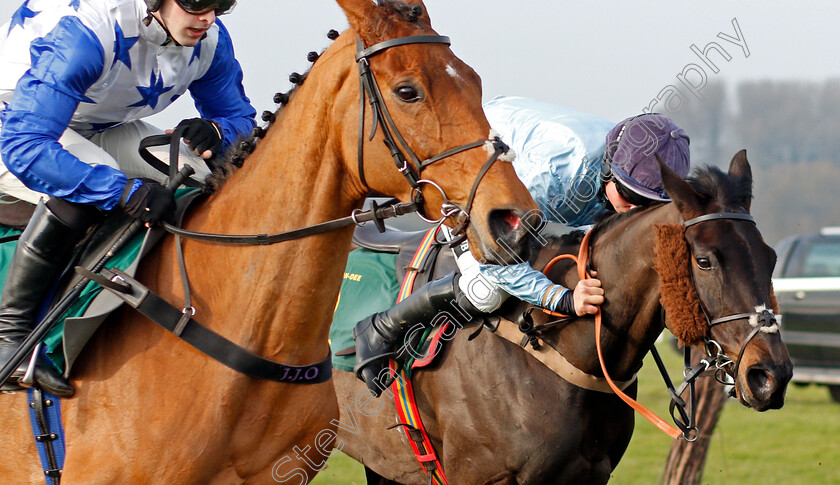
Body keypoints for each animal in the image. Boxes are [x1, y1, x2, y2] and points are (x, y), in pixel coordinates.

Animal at [0, 1, 540, 482]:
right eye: (408, 91)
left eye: (473, 80)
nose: (515, 221)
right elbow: (29, 141)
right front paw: (145, 198)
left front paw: (202, 132)